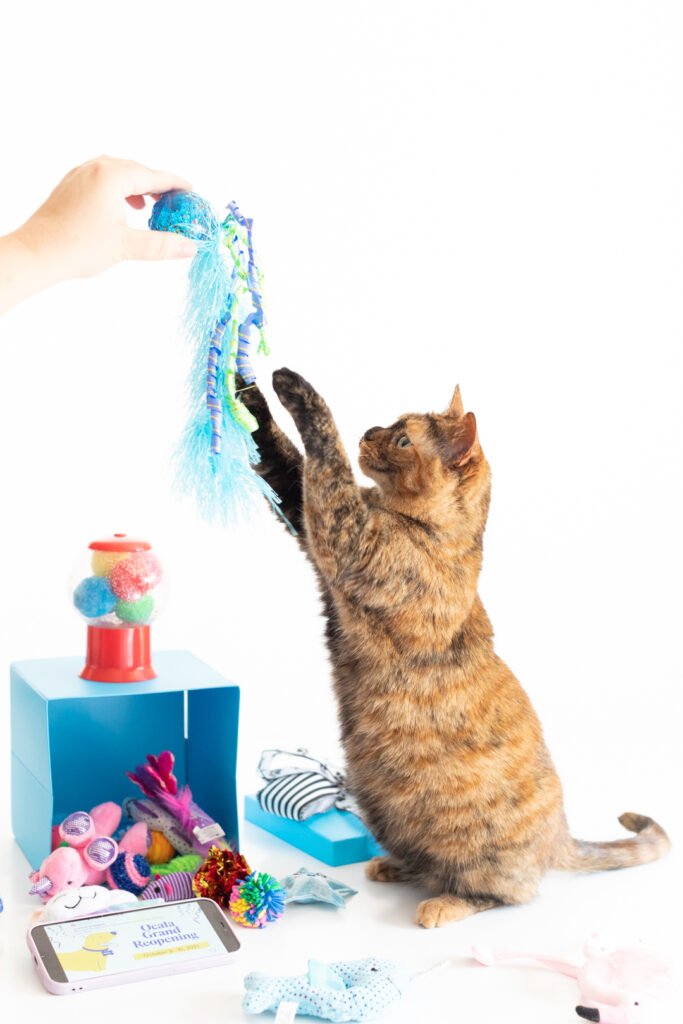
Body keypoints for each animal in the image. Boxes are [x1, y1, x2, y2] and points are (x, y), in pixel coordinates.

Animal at [242, 370, 671, 929]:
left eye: (403, 441)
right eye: (391, 422)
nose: (370, 430)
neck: (422, 528)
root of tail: (561, 835)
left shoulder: (345, 534)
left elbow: (325, 456)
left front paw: (297, 389)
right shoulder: (308, 525)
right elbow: (285, 463)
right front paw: (251, 396)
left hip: (477, 853)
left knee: (503, 892)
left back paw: (443, 903)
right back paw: (392, 866)